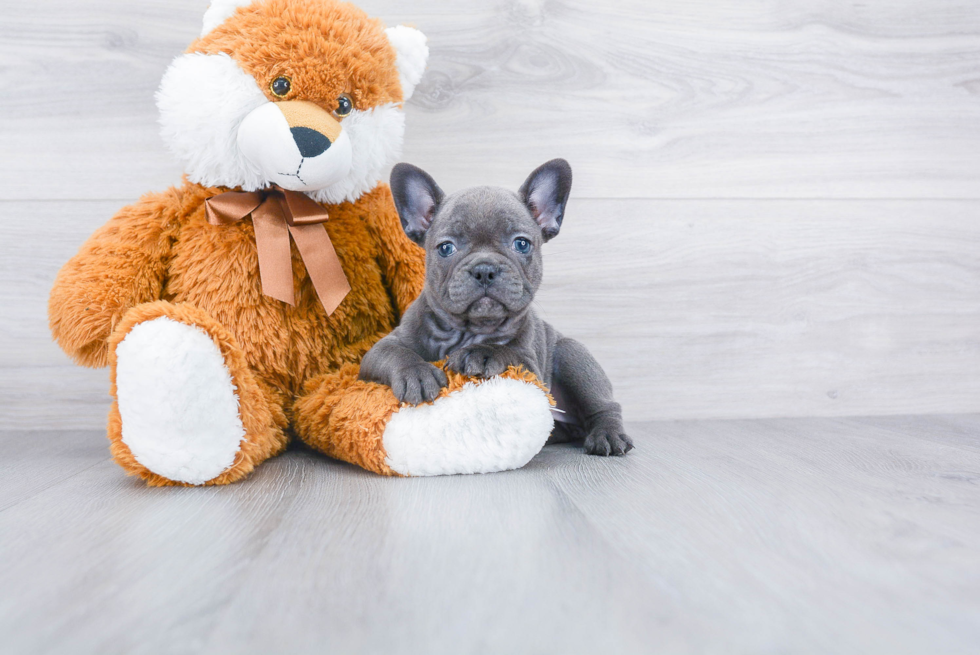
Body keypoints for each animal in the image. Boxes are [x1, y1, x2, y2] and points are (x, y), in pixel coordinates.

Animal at [360, 160, 636, 456]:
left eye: (521, 244)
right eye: (446, 248)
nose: (484, 269)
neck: (469, 330)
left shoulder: (530, 365)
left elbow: (508, 351)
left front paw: (482, 353)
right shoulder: (379, 350)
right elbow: (396, 353)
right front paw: (418, 374)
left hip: (573, 356)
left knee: (605, 406)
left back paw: (608, 435)